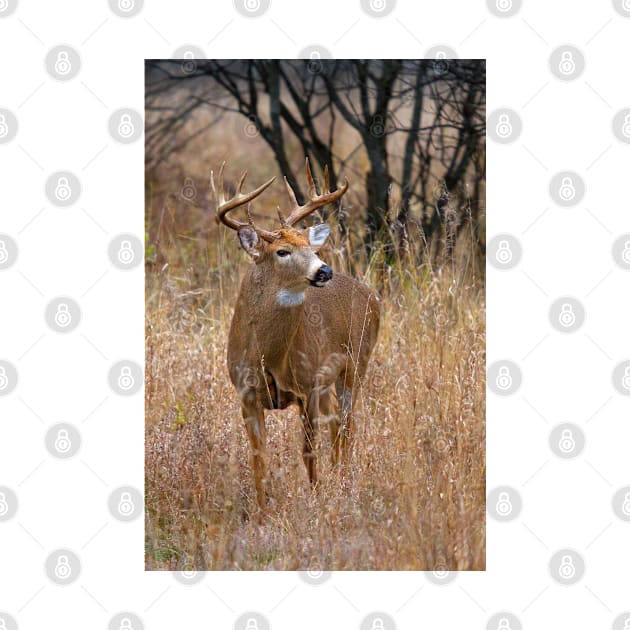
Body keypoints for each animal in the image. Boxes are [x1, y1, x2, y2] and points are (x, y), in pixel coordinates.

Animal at [212, 160, 380, 512]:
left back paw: (344, 484)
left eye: (310, 246)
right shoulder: (246, 394)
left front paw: (315, 500)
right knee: (337, 425)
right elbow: (259, 458)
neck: (268, 358)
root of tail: (373, 296)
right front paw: (262, 514)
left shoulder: (308, 386)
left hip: (356, 363)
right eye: (282, 251)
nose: (324, 270)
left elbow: (308, 452)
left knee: (348, 426)